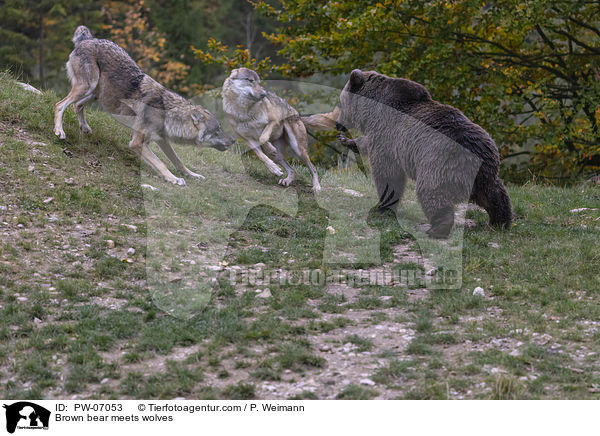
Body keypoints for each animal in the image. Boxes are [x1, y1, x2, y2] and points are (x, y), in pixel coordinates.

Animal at [54, 25, 233, 186]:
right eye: (217, 130)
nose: (233, 141)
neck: (167, 114)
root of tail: (88, 39)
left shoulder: (162, 140)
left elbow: (178, 160)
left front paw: (191, 175)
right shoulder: (138, 143)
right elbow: (161, 163)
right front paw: (174, 179)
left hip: (97, 95)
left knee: (77, 106)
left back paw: (85, 128)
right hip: (87, 87)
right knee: (60, 105)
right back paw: (59, 131)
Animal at [310, 70, 510, 238]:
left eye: (341, 103)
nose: (338, 125)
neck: (371, 110)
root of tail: (478, 153)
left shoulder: (387, 136)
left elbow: (387, 172)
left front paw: (382, 207)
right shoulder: (381, 133)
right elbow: (367, 144)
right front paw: (348, 141)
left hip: (440, 162)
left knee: (431, 191)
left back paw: (437, 228)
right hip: (485, 171)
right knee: (495, 193)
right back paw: (500, 221)